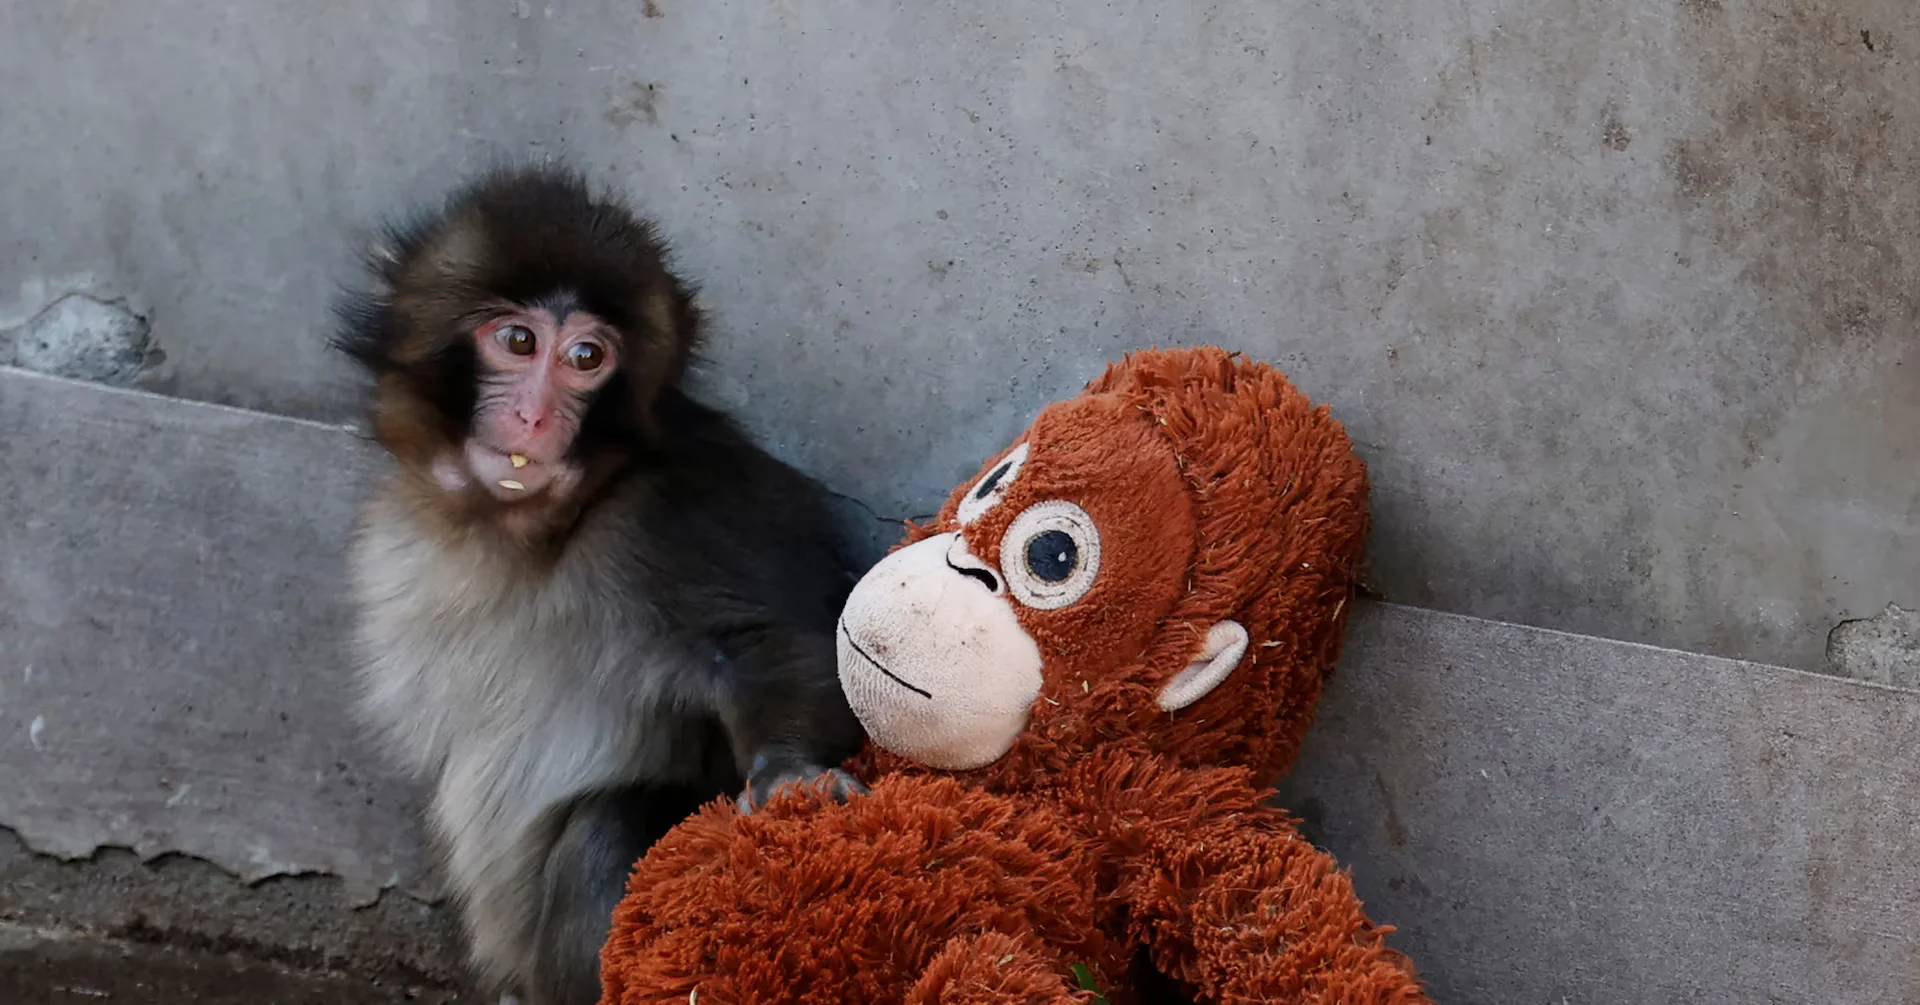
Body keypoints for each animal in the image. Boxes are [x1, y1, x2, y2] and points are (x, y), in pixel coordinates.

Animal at [331, 165, 868, 1005]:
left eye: (588, 356)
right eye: (518, 341)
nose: (534, 414)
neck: (533, 531)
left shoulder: (680, 511)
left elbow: (778, 644)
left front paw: (791, 774)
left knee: (608, 831)